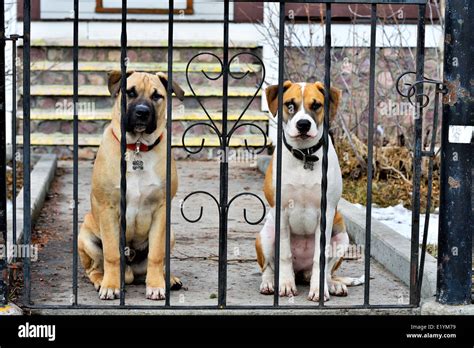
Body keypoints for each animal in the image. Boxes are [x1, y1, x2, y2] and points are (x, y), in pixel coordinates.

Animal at [78, 70, 184, 300]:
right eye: (130, 92)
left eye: (157, 96)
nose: (142, 112)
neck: (137, 147)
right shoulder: (108, 209)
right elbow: (111, 254)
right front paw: (110, 286)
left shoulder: (161, 209)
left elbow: (155, 255)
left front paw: (156, 286)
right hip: (86, 235)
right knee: (94, 268)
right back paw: (101, 280)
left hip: (170, 234)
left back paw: (168, 279)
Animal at [256, 81, 362, 302]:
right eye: (290, 104)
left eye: (316, 105)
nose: (303, 124)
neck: (304, 155)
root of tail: (301, 273)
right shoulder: (281, 211)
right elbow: (285, 254)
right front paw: (286, 285)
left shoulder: (326, 213)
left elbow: (319, 259)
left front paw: (319, 290)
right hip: (265, 235)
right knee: (268, 267)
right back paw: (270, 283)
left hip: (341, 237)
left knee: (327, 270)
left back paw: (332, 284)